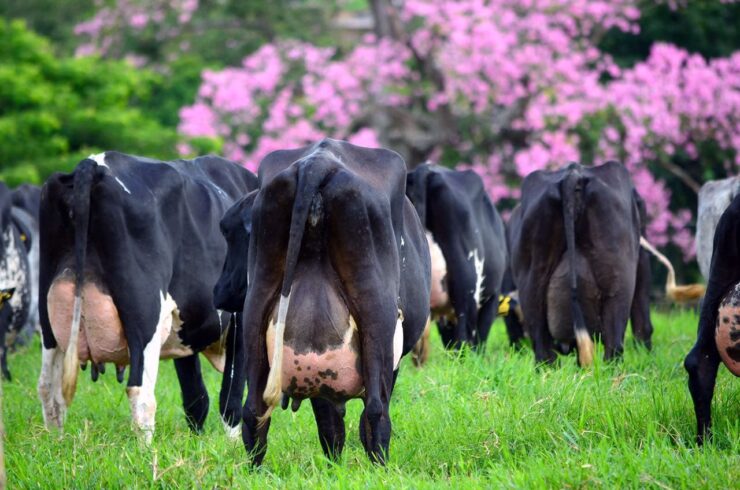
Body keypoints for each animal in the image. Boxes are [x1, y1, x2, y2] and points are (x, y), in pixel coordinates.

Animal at [37, 152, 257, 442]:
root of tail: (92, 164)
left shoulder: (184, 327)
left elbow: (195, 395)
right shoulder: (238, 319)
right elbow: (230, 396)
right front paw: (233, 445)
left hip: (48, 313)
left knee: (48, 388)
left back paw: (55, 444)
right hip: (145, 315)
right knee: (140, 391)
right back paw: (146, 450)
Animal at [238, 139, 430, 465]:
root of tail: (318, 160)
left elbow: (329, 421)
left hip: (256, 304)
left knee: (253, 412)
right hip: (376, 311)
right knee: (376, 410)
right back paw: (381, 468)